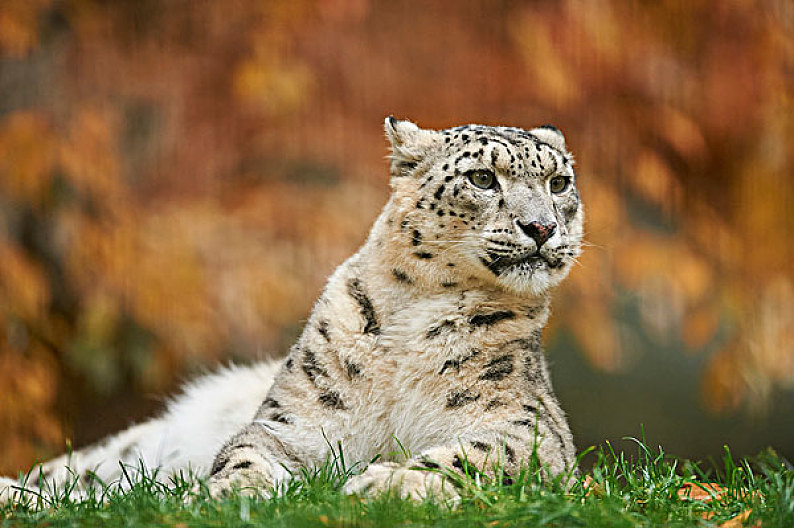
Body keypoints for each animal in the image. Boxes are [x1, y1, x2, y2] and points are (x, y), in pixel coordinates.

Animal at [0, 117, 580, 502]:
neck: (417, 314)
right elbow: (248, 453)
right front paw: (234, 492)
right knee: (73, 472)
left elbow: (475, 455)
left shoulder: (527, 427)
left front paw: (385, 483)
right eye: (482, 178)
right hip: (128, 449)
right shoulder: (293, 420)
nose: (543, 227)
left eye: (558, 183)